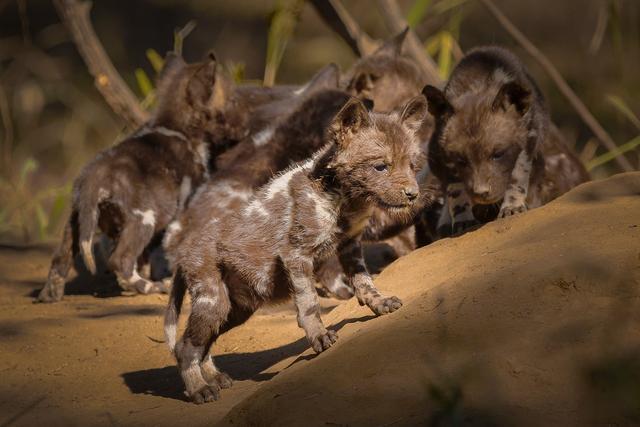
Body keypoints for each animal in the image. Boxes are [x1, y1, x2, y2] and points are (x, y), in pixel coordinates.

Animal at [35, 53, 245, 302]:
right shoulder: (179, 212)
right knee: (120, 260)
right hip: (144, 219)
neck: (179, 128)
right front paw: (167, 278)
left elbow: (144, 258)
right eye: (232, 101)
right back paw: (150, 287)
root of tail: (93, 180)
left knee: (60, 257)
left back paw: (50, 295)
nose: (246, 126)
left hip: (76, 220)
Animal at [162, 95, 428, 402]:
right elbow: (309, 302)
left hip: (235, 309)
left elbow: (365, 283)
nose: (413, 194)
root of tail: (182, 254)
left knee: (201, 344)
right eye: (381, 167)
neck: (344, 196)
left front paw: (379, 303)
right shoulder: (297, 255)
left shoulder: (350, 245)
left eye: (412, 166)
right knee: (184, 347)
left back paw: (215, 379)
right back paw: (199, 389)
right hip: (212, 301)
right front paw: (319, 336)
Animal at [428, 46, 556, 237]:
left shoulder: (527, 141)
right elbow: (455, 191)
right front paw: (462, 218)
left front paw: (512, 206)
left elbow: (517, 177)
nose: (481, 193)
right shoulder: (444, 158)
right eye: (461, 160)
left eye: (498, 154)